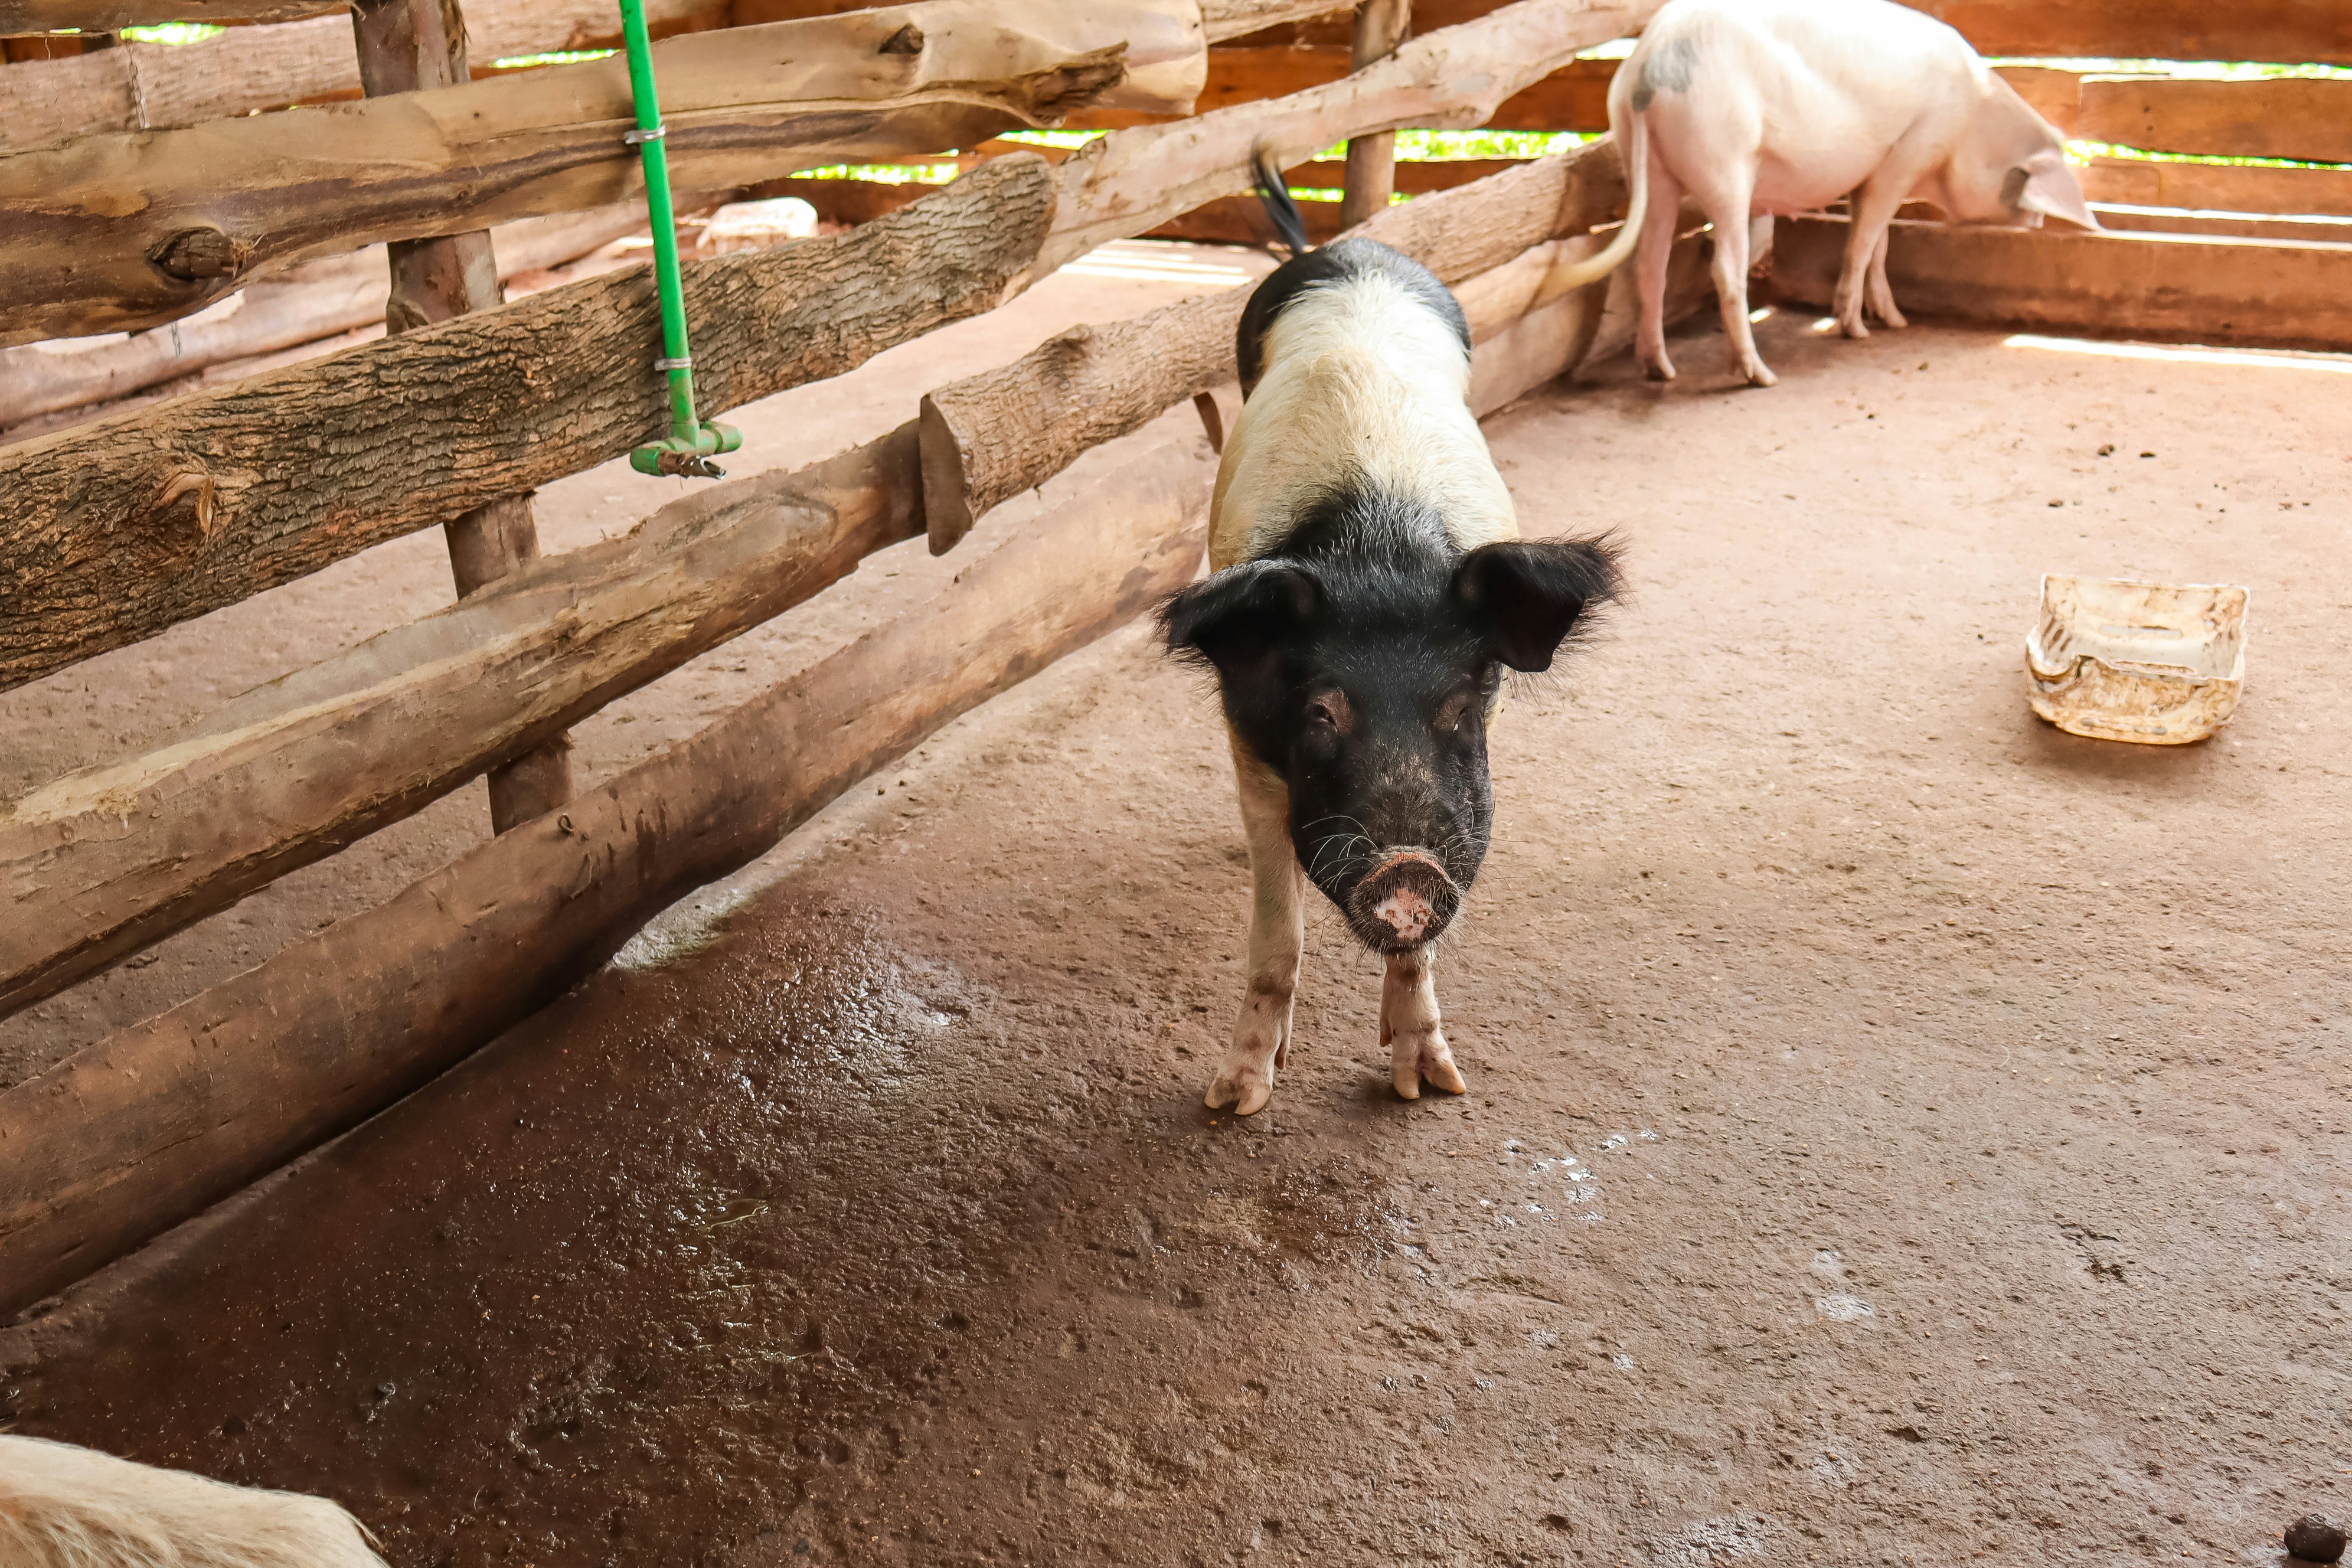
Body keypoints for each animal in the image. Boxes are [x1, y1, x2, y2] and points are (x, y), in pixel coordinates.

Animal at [1159, 152, 1620, 1116]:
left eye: (1463, 708)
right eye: (1321, 712)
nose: (1407, 866)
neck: (1380, 547)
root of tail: (1353, 247)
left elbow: (1419, 957)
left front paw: (1432, 1088)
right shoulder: (1247, 742)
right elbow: (1276, 941)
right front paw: (1233, 1101)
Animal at [1548, 0, 2099, 386]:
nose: (2039, 223)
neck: (1971, 123)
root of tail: (1650, 68)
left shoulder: (1872, 171)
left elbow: (1878, 243)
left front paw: (1895, 321)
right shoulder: (1911, 151)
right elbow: (1863, 244)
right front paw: (1856, 329)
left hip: (1649, 163)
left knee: (1650, 262)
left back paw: (1660, 370)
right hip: (1723, 159)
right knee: (1724, 267)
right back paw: (1760, 376)